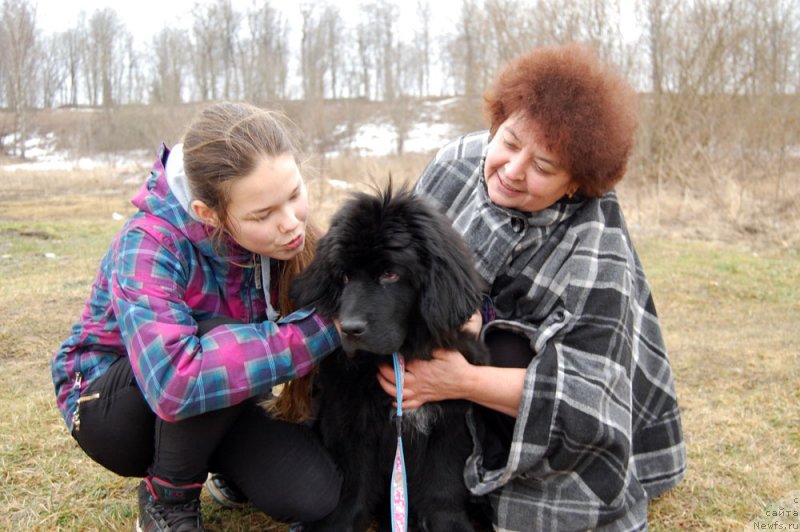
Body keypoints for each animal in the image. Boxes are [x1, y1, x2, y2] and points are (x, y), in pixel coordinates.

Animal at [290, 184, 490, 532]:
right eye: (343, 277)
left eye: (390, 274)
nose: (350, 329)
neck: (399, 359)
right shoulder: (350, 420)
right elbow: (354, 483)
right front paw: (340, 524)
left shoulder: (450, 421)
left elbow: (443, 485)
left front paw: (448, 524)